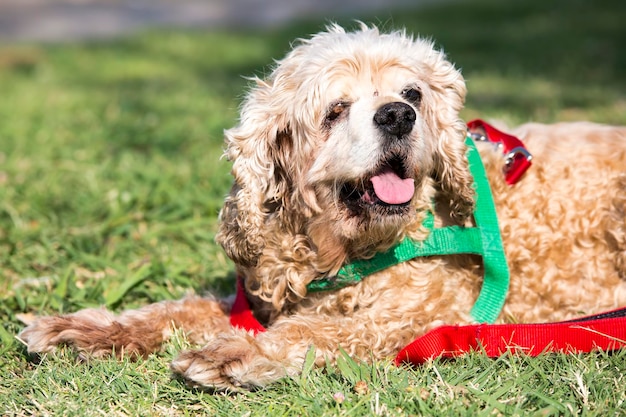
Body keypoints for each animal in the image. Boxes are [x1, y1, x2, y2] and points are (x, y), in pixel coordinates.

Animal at [18, 24, 624, 388]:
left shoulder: (425, 312)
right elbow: (175, 311)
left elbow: (319, 332)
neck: (340, 249)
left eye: (413, 94)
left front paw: (234, 354)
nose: (397, 115)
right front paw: (85, 330)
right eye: (335, 109)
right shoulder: (258, 297)